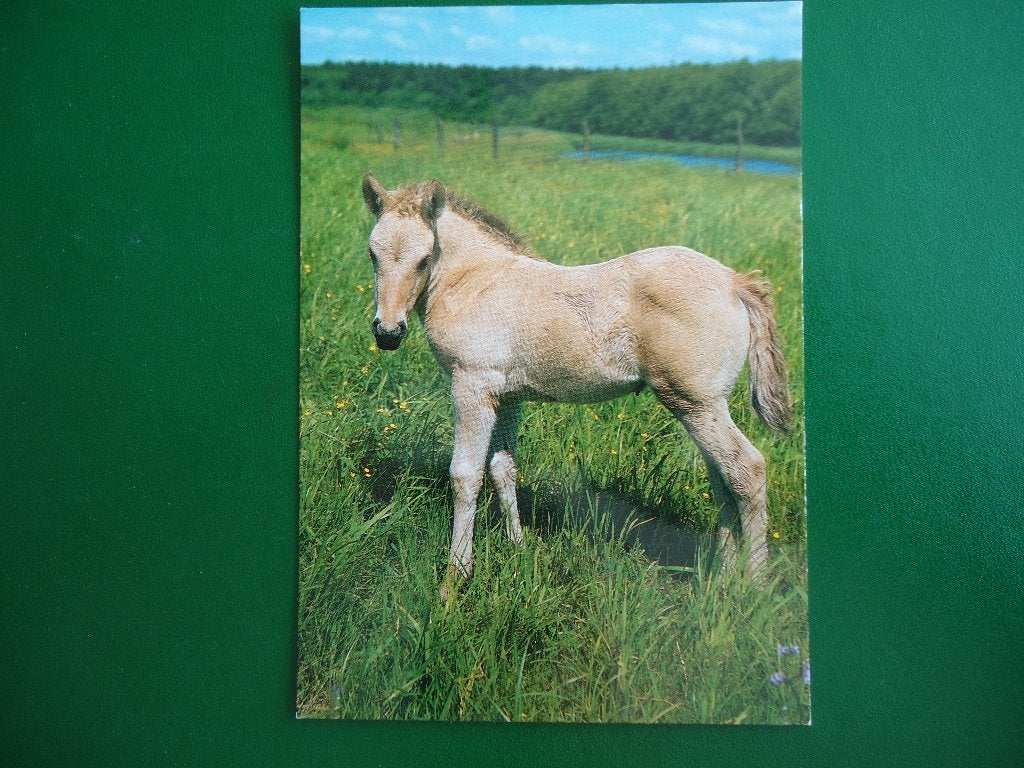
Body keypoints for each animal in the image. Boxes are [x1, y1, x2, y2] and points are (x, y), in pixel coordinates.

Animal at [360, 172, 792, 600]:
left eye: (424, 258)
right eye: (372, 254)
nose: (387, 333)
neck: (475, 279)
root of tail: (735, 283)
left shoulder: (472, 386)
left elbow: (465, 476)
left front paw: (455, 578)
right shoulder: (508, 396)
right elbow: (503, 469)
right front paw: (519, 548)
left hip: (697, 404)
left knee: (747, 471)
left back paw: (753, 589)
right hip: (701, 408)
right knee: (722, 480)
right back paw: (723, 580)